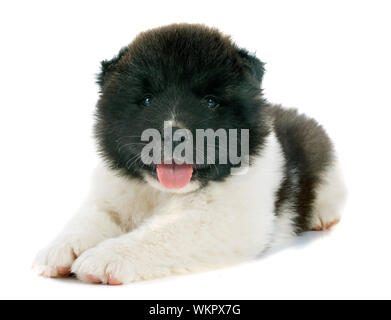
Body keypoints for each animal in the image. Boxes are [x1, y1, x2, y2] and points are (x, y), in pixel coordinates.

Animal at [33, 23, 346, 284]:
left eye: (210, 101)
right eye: (146, 100)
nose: (173, 134)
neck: (161, 192)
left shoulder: (226, 218)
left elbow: (161, 234)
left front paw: (103, 258)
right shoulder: (112, 194)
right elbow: (89, 217)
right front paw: (59, 248)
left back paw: (322, 217)